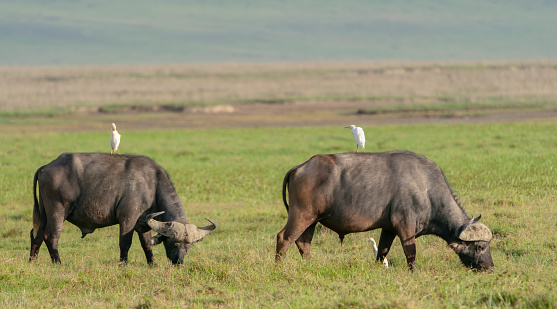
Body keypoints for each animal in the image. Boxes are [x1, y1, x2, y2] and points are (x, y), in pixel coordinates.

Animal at [28, 153, 216, 264]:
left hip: (44, 214)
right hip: (57, 211)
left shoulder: (144, 222)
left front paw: (152, 263)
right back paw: (58, 263)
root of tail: (47, 167)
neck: (152, 184)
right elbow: (125, 242)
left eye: (188, 246)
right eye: (171, 242)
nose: (179, 262)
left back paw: (32, 261)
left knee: (36, 235)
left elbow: (146, 244)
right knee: (51, 236)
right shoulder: (128, 218)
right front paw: (123, 264)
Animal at [276, 151, 494, 270]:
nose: (489, 267)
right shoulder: (405, 226)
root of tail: (300, 167)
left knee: (303, 243)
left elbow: (382, 251)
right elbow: (410, 252)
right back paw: (278, 267)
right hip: (301, 215)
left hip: (312, 220)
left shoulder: (388, 229)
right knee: (284, 238)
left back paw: (310, 265)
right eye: (480, 247)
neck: (426, 188)